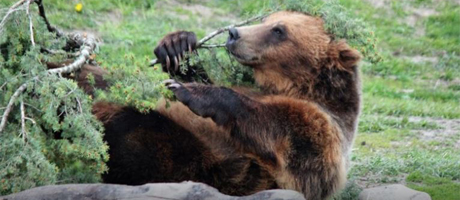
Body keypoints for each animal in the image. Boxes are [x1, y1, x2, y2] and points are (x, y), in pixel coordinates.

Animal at [95, 11, 362, 200]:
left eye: (278, 30)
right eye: (266, 19)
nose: (234, 33)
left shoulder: (323, 129)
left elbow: (286, 136)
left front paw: (191, 92)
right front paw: (177, 45)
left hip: (193, 159)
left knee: (133, 130)